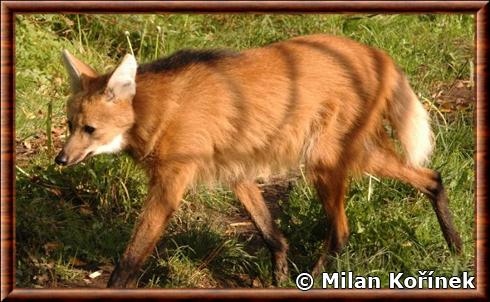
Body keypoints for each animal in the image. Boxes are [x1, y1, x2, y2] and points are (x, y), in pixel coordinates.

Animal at [57, 34, 464, 288]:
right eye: (71, 125)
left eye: (90, 129)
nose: (61, 159)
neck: (157, 110)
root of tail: (376, 54)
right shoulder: (235, 171)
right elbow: (271, 233)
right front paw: (279, 276)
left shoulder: (171, 182)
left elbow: (130, 257)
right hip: (358, 154)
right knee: (432, 177)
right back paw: (457, 248)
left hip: (322, 159)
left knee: (342, 231)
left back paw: (314, 280)